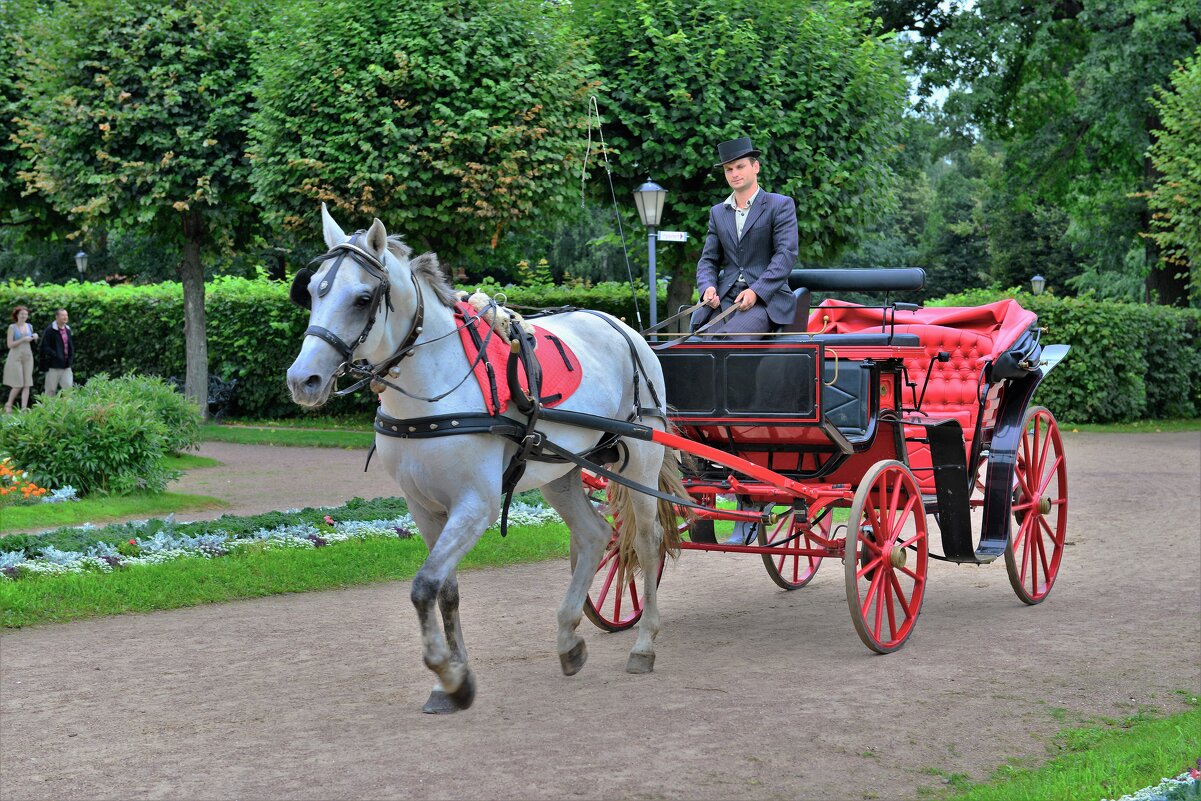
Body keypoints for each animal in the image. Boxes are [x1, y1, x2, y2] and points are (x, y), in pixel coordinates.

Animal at [285, 206, 686, 715]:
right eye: (314, 290)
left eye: (362, 298)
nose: (304, 379)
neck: (432, 393)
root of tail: (623, 326)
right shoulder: (422, 507)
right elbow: (445, 588)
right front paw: (453, 677)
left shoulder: (476, 504)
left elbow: (424, 586)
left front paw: (448, 674)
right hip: (562, 470)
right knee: (596, 534)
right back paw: (567, 640)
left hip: (641, 463)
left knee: (648, 542)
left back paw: (644, 644)